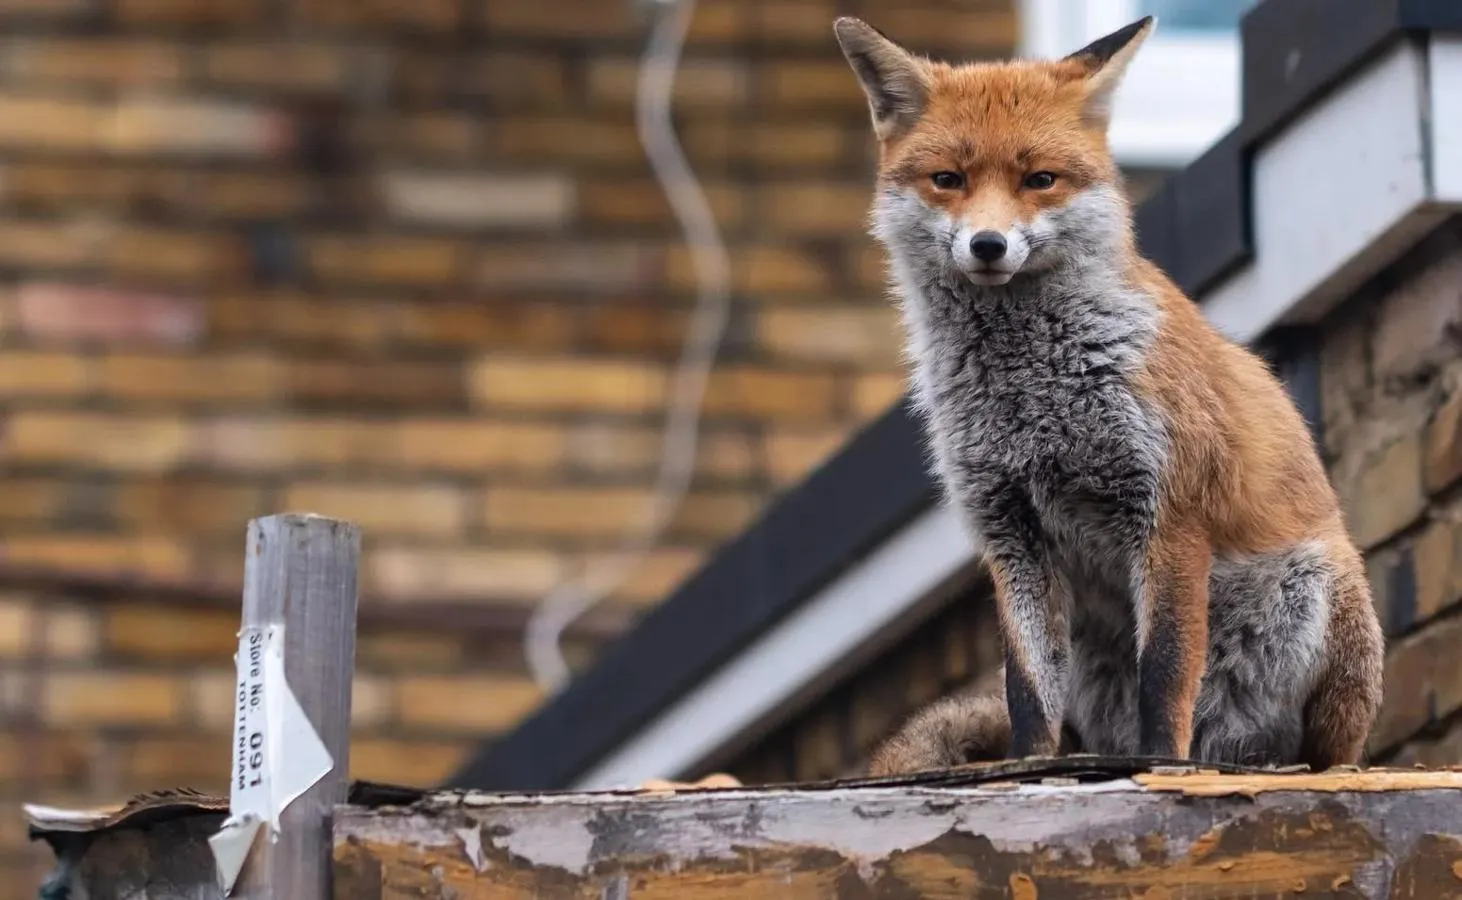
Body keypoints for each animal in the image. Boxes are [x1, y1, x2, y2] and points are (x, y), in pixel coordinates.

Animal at [833, 15, 1385, 775]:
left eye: (1040, 180)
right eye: (948, 180)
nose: (987, 244)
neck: (1032, 397)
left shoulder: (1168, 514)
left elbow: (1167, 673)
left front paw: (1162, 766)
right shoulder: (1010, 533)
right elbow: (1027, 693)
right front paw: (1027, 768)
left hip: (1320, 588)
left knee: (1321, 747)